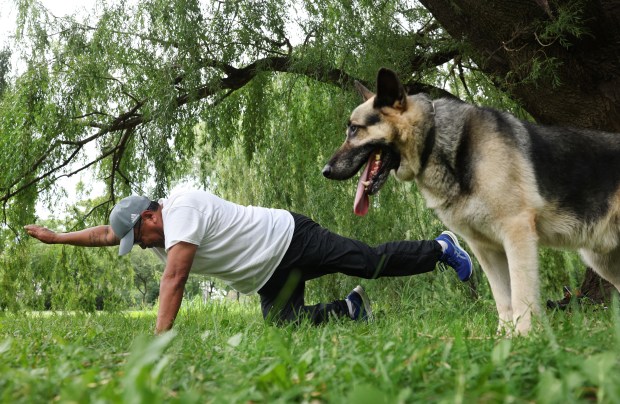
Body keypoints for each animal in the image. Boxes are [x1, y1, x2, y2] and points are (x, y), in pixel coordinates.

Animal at [322, 68, 620, 334]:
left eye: (354, 129)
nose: (325, 170)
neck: (435, 140)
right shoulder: (486, 249)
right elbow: (504, 302)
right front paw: (504, 343)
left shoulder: (518, 235)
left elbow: (521, 298)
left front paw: (525, 340)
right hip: (602, 259)